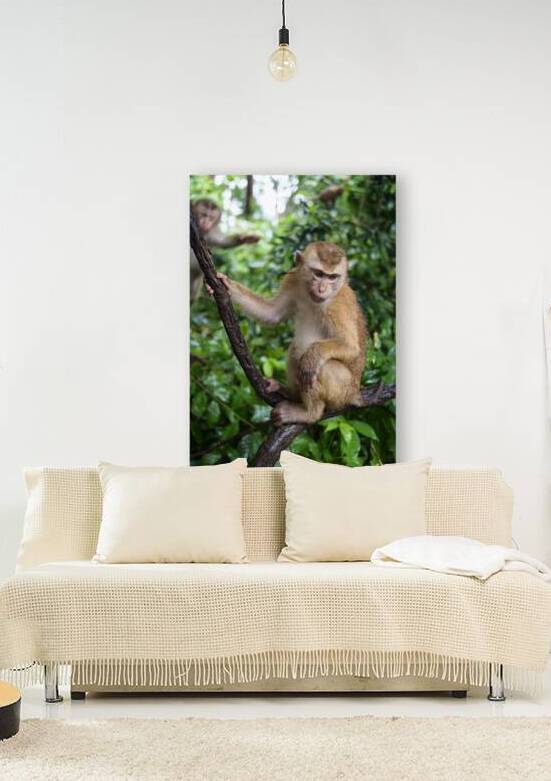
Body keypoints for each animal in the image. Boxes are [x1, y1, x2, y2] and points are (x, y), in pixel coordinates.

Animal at [212, 241, 367, 425]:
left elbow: (350, 346)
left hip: (342, 391)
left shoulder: (339, 303)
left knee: (316, 364)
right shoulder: (293, 280)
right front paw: (228, 286)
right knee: (295, 349)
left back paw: (310, 412)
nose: (322, 289)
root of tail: (355, 392)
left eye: (332, 277)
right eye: (319, 273)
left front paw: (312, 357)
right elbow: (271, 313)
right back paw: (291, 393)